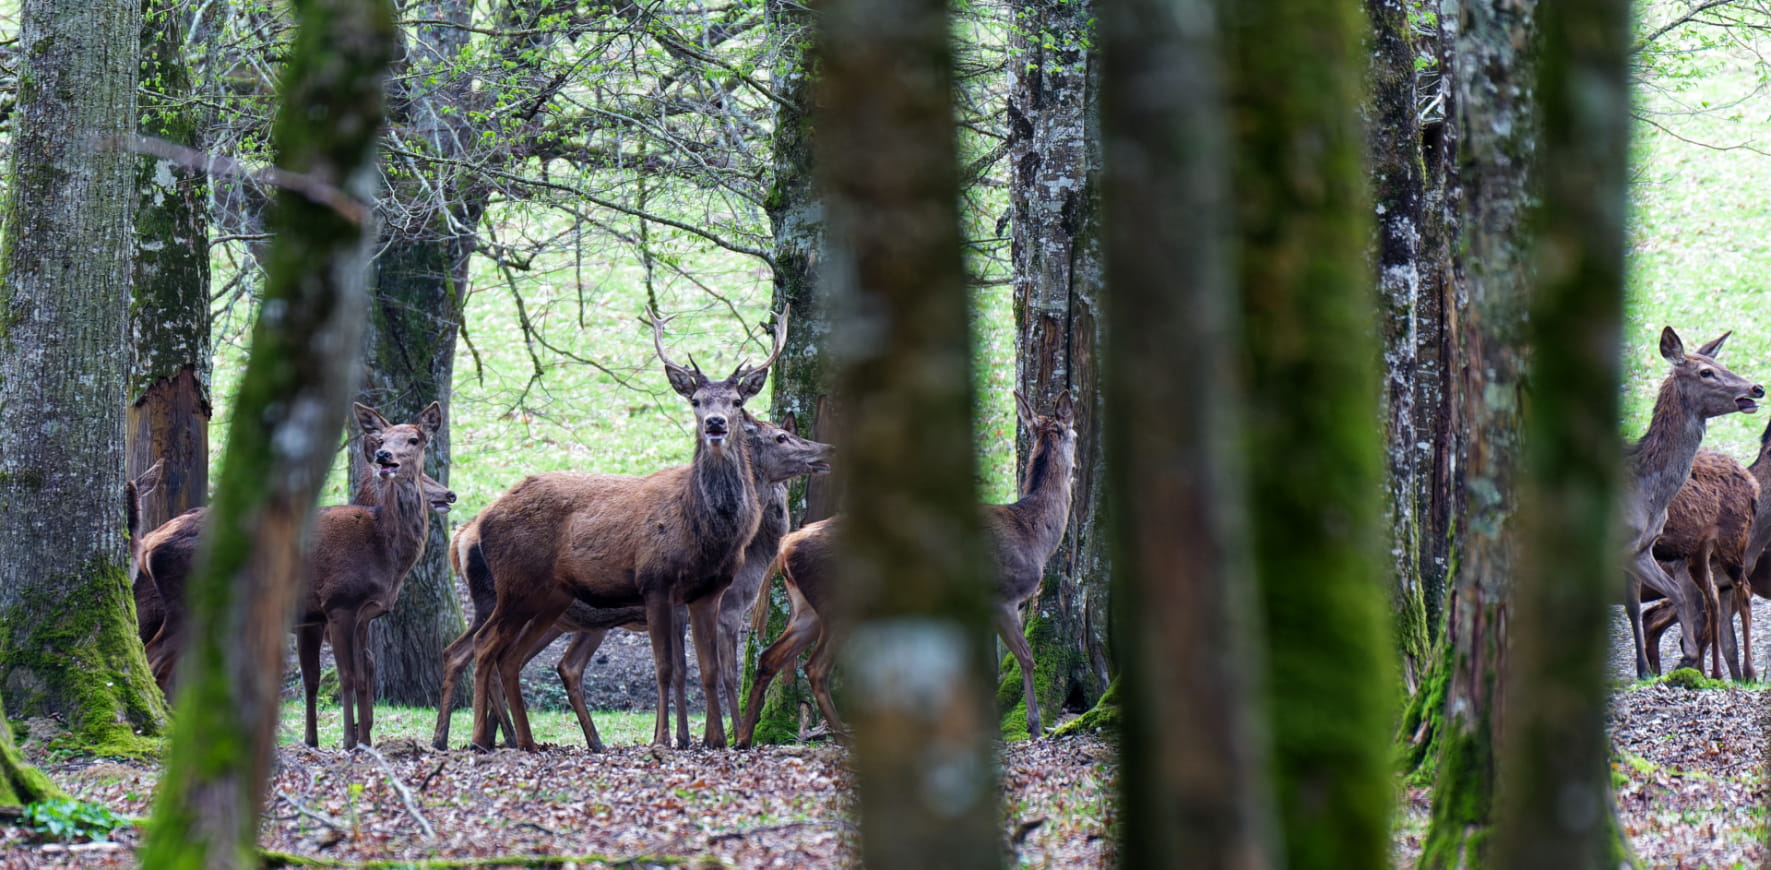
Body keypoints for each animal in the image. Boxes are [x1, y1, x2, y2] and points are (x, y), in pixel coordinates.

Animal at [466, 309, 788, 751]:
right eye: (695, 401)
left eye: (737, 402)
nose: (715, 423)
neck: (703, 532)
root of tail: (482, 519)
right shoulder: (655, 581)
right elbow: (666, 668)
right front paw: (664, 740)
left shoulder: (708, 591)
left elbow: (708, 670)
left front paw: (716, 740)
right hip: (517, 584)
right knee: (483, 646)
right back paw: (479, 740)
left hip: (550, 596)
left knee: (508, 656)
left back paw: (527, 742)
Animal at [735, 390, 1077, 748]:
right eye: (1076, 432)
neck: (1034, 534)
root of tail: (786, 545)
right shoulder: (1002, 596)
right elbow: (1026, 657)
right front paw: (1034, 725)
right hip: (838, 602)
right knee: (815, 667)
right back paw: (842, 735)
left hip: (807, 608)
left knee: (769, 656)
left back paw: (744, 737)